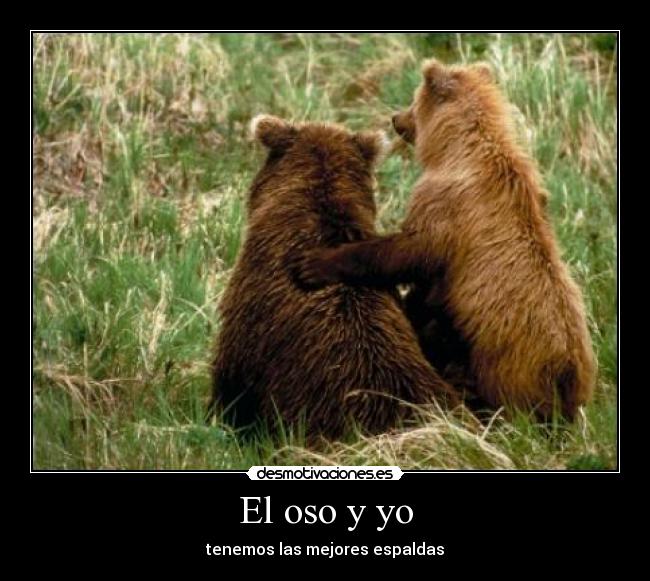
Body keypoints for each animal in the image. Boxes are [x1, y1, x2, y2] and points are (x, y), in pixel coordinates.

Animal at [295, 59, 596, 422]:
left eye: (414, 100)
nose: (396, 118)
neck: (458, 149)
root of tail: (569, 371)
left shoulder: (447, 209)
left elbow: (407, 253)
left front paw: (315, 263)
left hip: (505, 364)